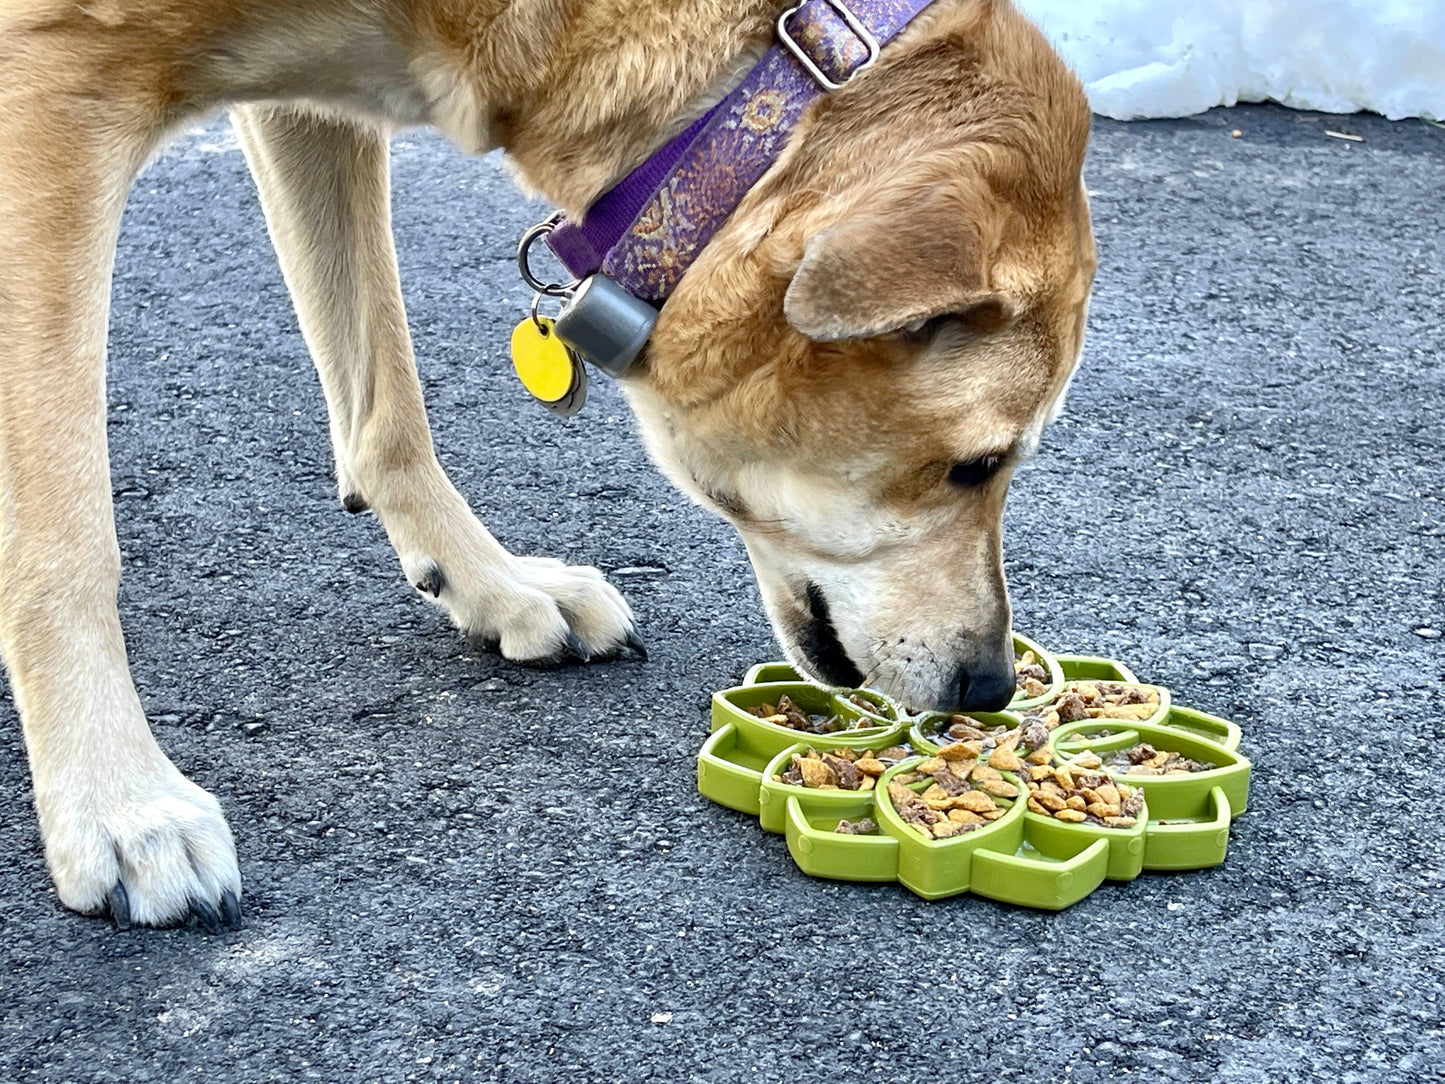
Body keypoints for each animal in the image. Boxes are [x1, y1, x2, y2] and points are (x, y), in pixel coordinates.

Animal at [0, 2, 1092, 936]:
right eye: (976, 465)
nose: (990, 686)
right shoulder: (51, 88)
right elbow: (64, 534)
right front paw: (117, 801)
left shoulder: (306, 108)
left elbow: (385, 399)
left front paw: (490, 583)